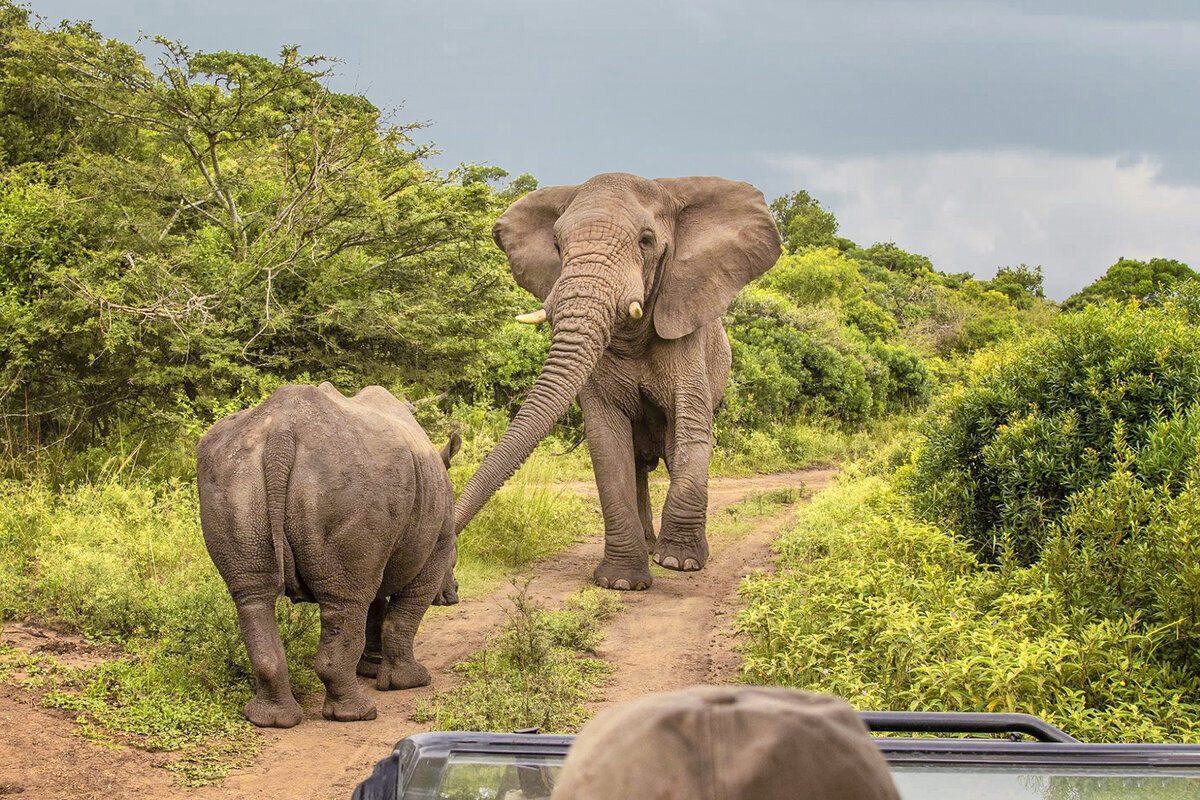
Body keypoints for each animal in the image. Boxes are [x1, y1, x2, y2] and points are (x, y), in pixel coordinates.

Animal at [196, 383, 458, 729]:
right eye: (455, 559)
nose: (453, 595)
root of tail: (281, 431)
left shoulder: (381, 546)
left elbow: (375, 606)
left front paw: (371, 669)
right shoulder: (438, 543)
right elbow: (404, 614)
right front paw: (410, 681)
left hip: (230, 472)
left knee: (252, 595)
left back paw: (271, 719)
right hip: (353, 478)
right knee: (346, 600)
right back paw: (357, 715)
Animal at [453, 172, 782, 592]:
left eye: (646, 240)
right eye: (557, 245)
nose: (450, 557)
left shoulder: (687, 332)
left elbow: (690, 427)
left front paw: (678, 562)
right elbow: (608, 444)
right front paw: (621, 582)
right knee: (638, 465)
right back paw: (647, 545)